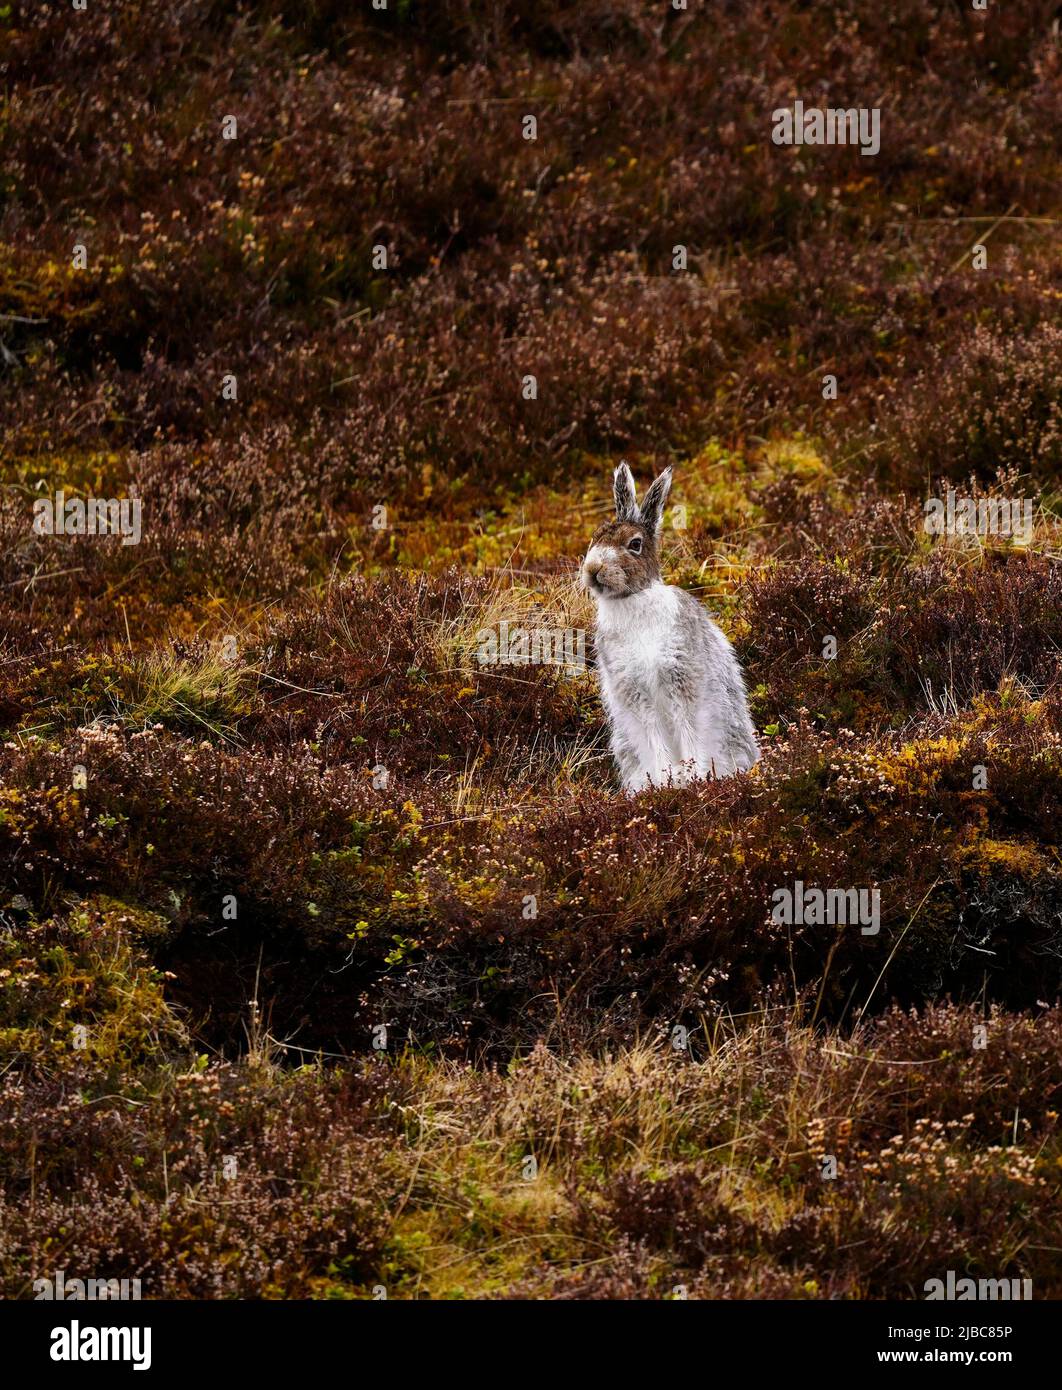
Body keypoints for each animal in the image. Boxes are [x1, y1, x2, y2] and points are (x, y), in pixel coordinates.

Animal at [580, 462, 760, 793]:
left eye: (635, 544)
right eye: (595, 538)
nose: (593, 569)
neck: (632, 599)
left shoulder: (680, 675)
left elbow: (687, 726)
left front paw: (693, 776)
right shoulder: (634, 690)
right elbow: (654, 736)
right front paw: (665, 782)